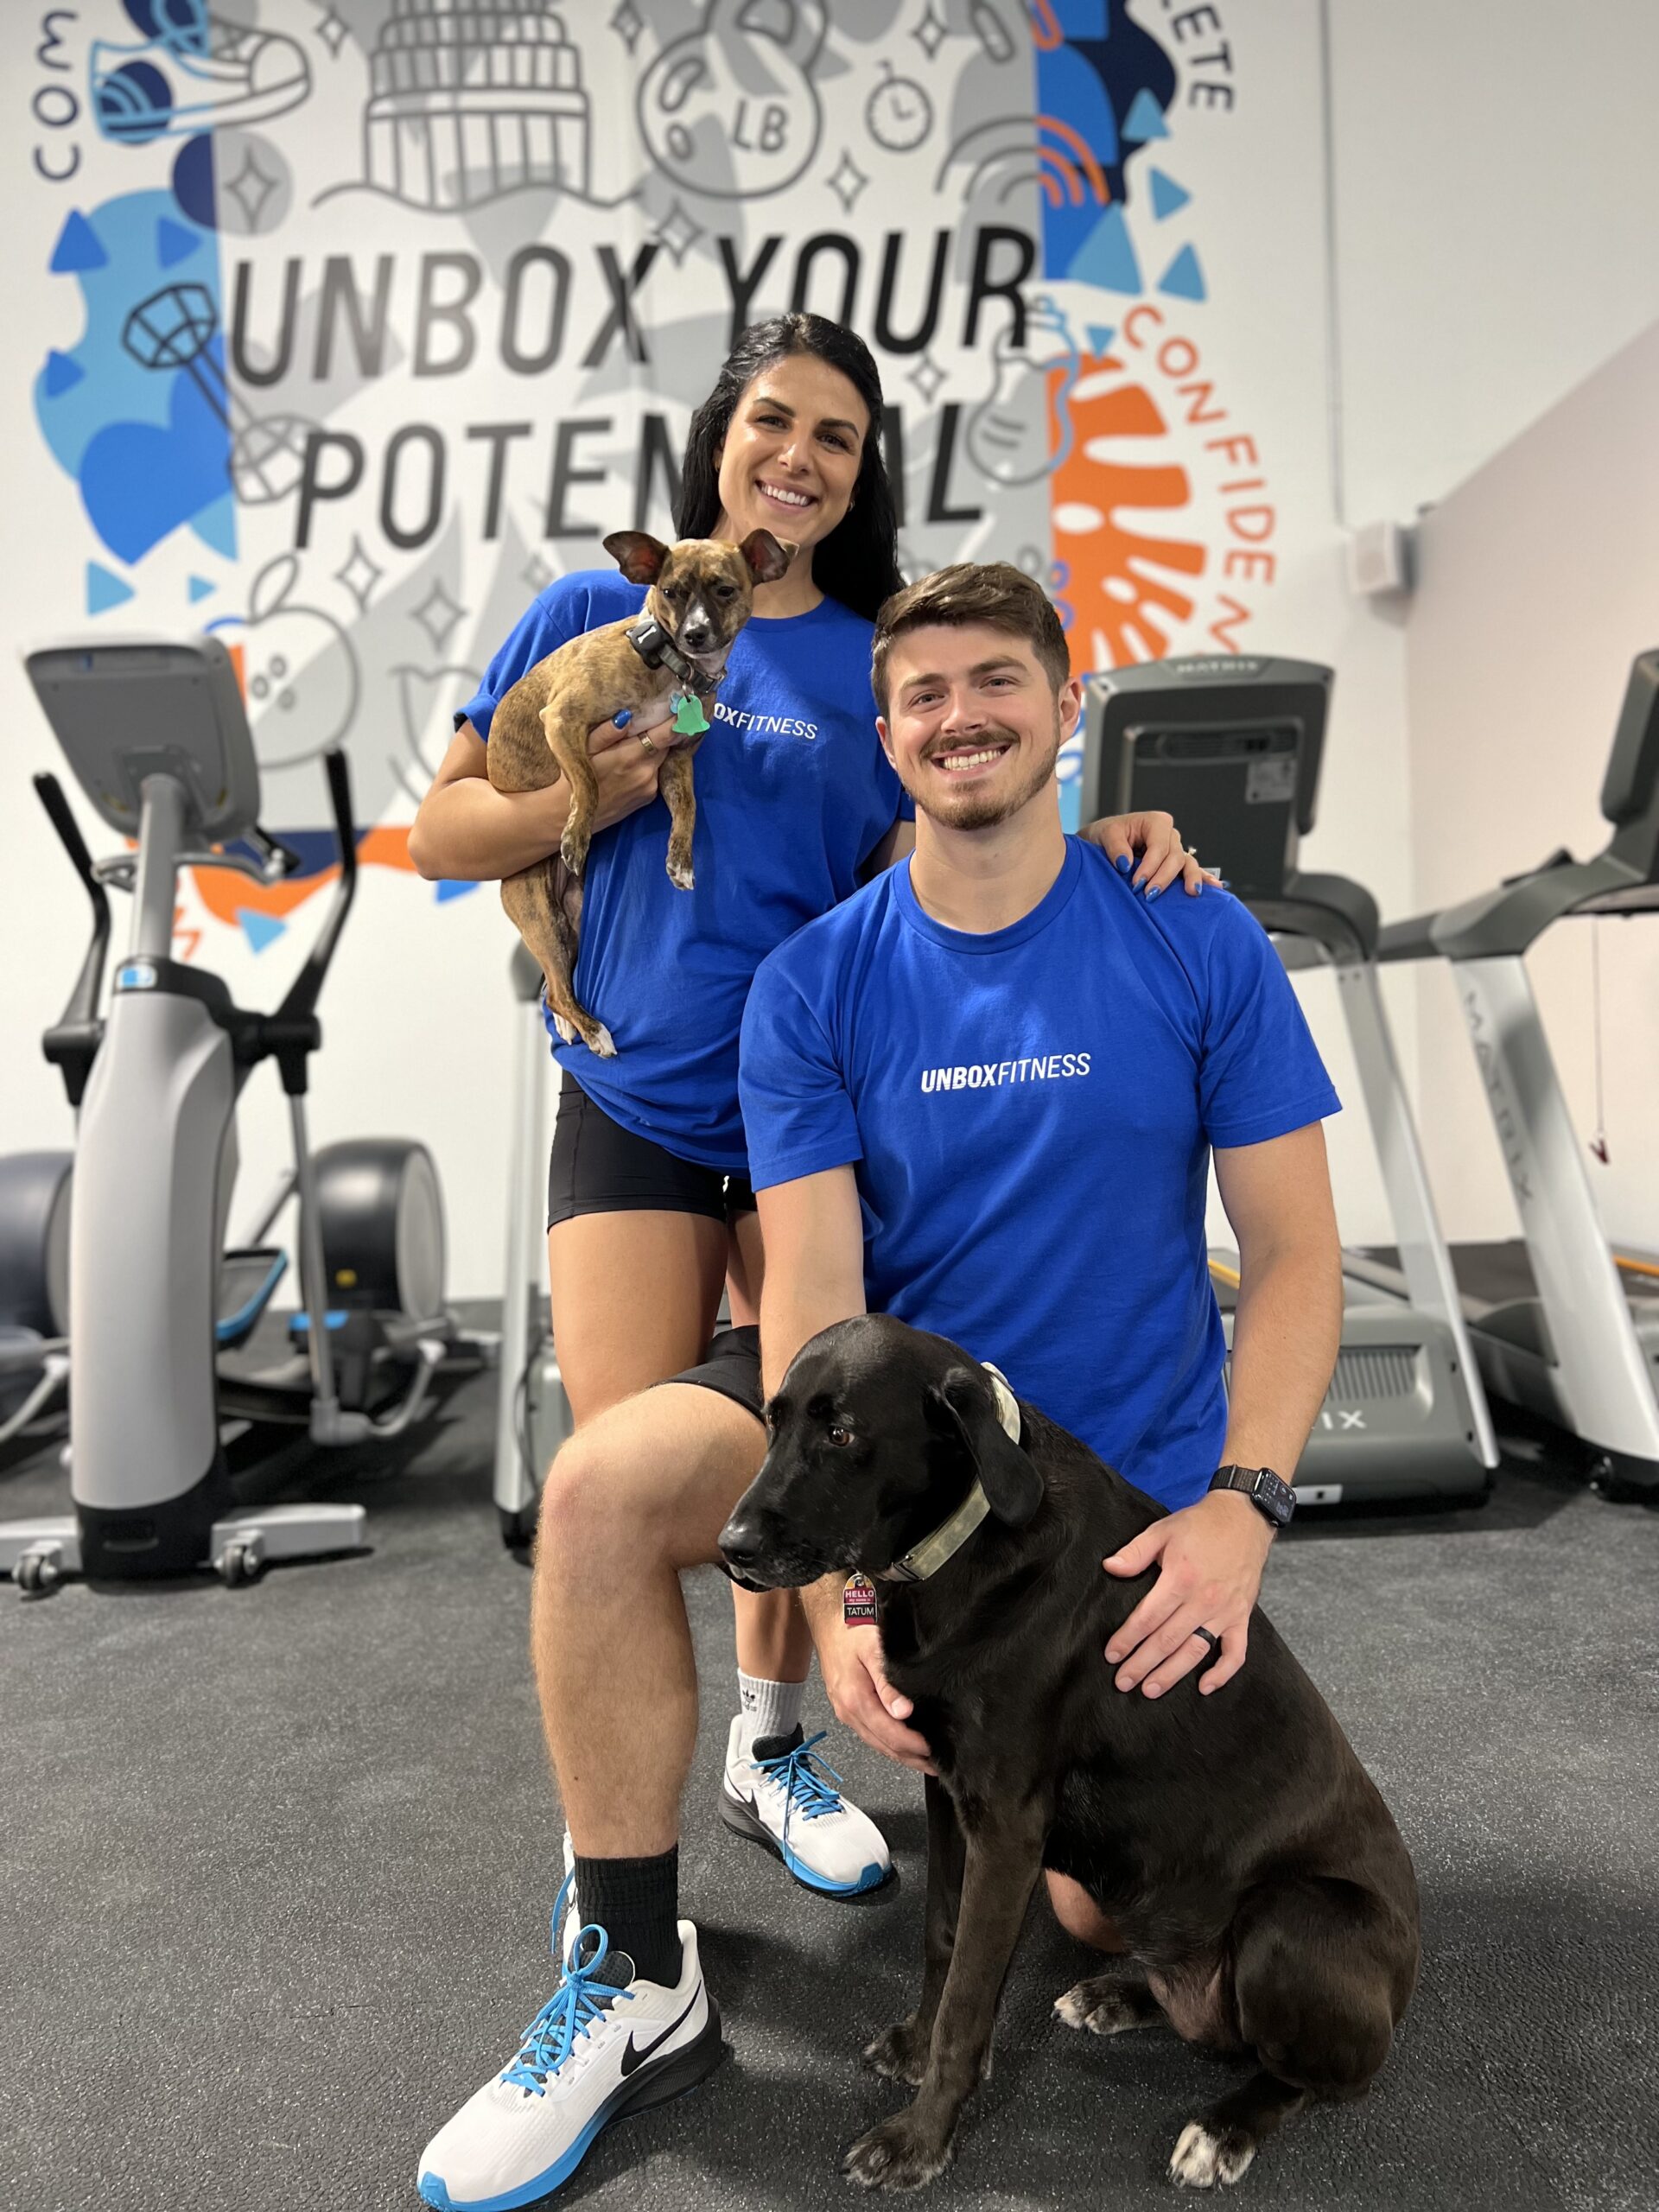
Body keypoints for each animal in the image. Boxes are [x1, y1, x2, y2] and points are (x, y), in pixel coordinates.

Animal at [486, 531, 791, 1057]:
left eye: (725, 591)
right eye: (670, 592)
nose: (694, 634)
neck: (671, 666)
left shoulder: (676, 762)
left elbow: (688, 810)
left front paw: (680, 862)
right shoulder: (563, 721)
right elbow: (588, 783)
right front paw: (577, 836)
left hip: (570, 926)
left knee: (554, 989)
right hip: (541, 918)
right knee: (559, 993)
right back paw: (594, 1032)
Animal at [721, 1309, 1424, 2194]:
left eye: (842, 1433)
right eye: (772, 1424)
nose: (730, 1547)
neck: (967, 1545)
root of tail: (1403, 1992)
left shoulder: (1008, 1827)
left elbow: (968, 2000)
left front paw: (920, 2139)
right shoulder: (948, 1794)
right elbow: (941, 1939)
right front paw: (916, 2045)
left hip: (1290, 1921)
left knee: (1312, 2075)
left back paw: (1224, 2126)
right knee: (1213, 2021)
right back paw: (1118, 1998)